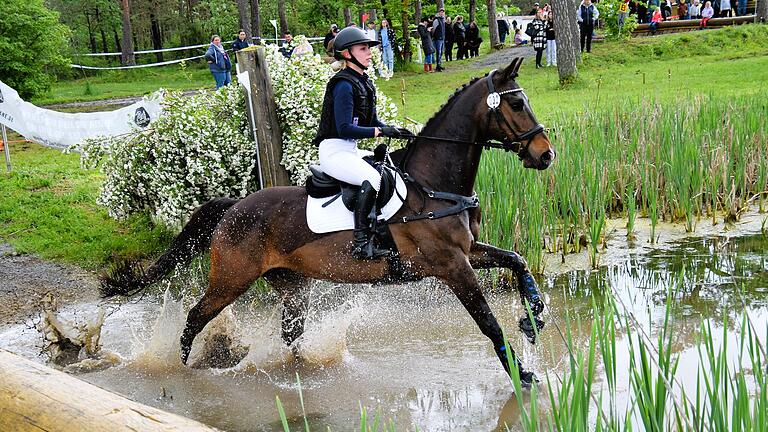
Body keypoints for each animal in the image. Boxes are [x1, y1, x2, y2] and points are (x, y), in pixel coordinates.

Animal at [103, 56, 560, 384]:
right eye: (516, 103)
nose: (545, 155)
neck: (432, 186)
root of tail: (234, 207)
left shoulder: (469, 252)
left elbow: (517, 261)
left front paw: (533, 319)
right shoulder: (451, 266)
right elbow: (488, 323)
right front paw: (522, 373)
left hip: (291, 284)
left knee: (290, 330)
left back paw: (301, 369)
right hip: (231, 278)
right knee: (196, 317)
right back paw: (182, 368)